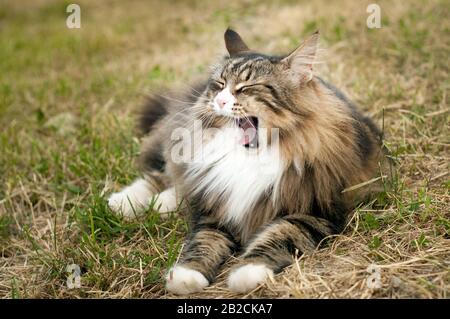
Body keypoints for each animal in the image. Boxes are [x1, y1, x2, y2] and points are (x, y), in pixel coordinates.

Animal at [106, 29, 384, 296]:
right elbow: (202, 243)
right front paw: (186, 276)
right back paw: (124, 202)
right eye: (220, 85)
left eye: (246, 87)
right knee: (164, 174)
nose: (219, 101)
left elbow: (278, 237)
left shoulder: (315, 213)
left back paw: (162, 203)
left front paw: (248, 272)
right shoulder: (215, 210)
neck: (253, 157)